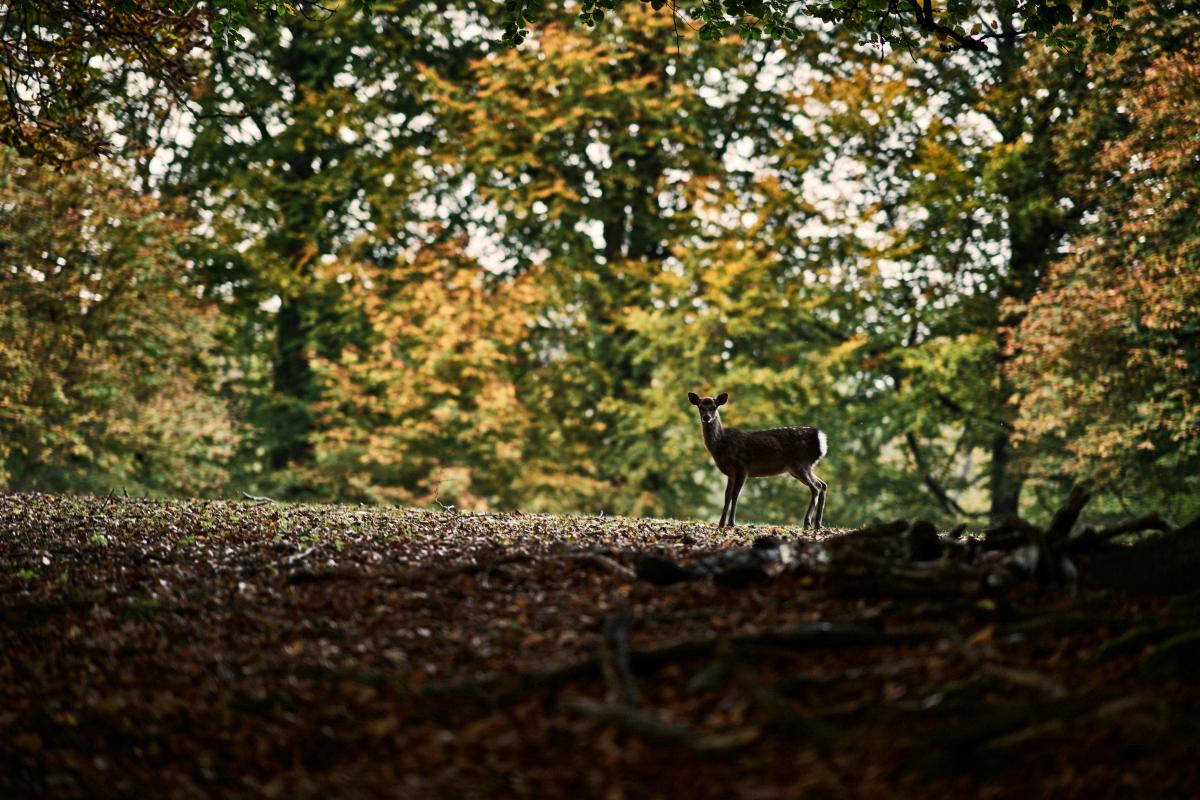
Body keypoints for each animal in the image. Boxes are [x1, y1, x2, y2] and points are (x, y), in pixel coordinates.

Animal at [691, 393, 830, 532]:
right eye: (700, 406)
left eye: (714, 407)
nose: (706, 417)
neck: (721, 445)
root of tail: (822, 439)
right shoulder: (731, 474)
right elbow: (727, 496)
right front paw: (721, 524)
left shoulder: (742, 467)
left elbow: (735, 495)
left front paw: (731, 523)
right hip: (800, 468)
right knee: (823, 485)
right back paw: (818, 524)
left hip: (801, 464)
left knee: (816, 487)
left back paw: (807, 523)